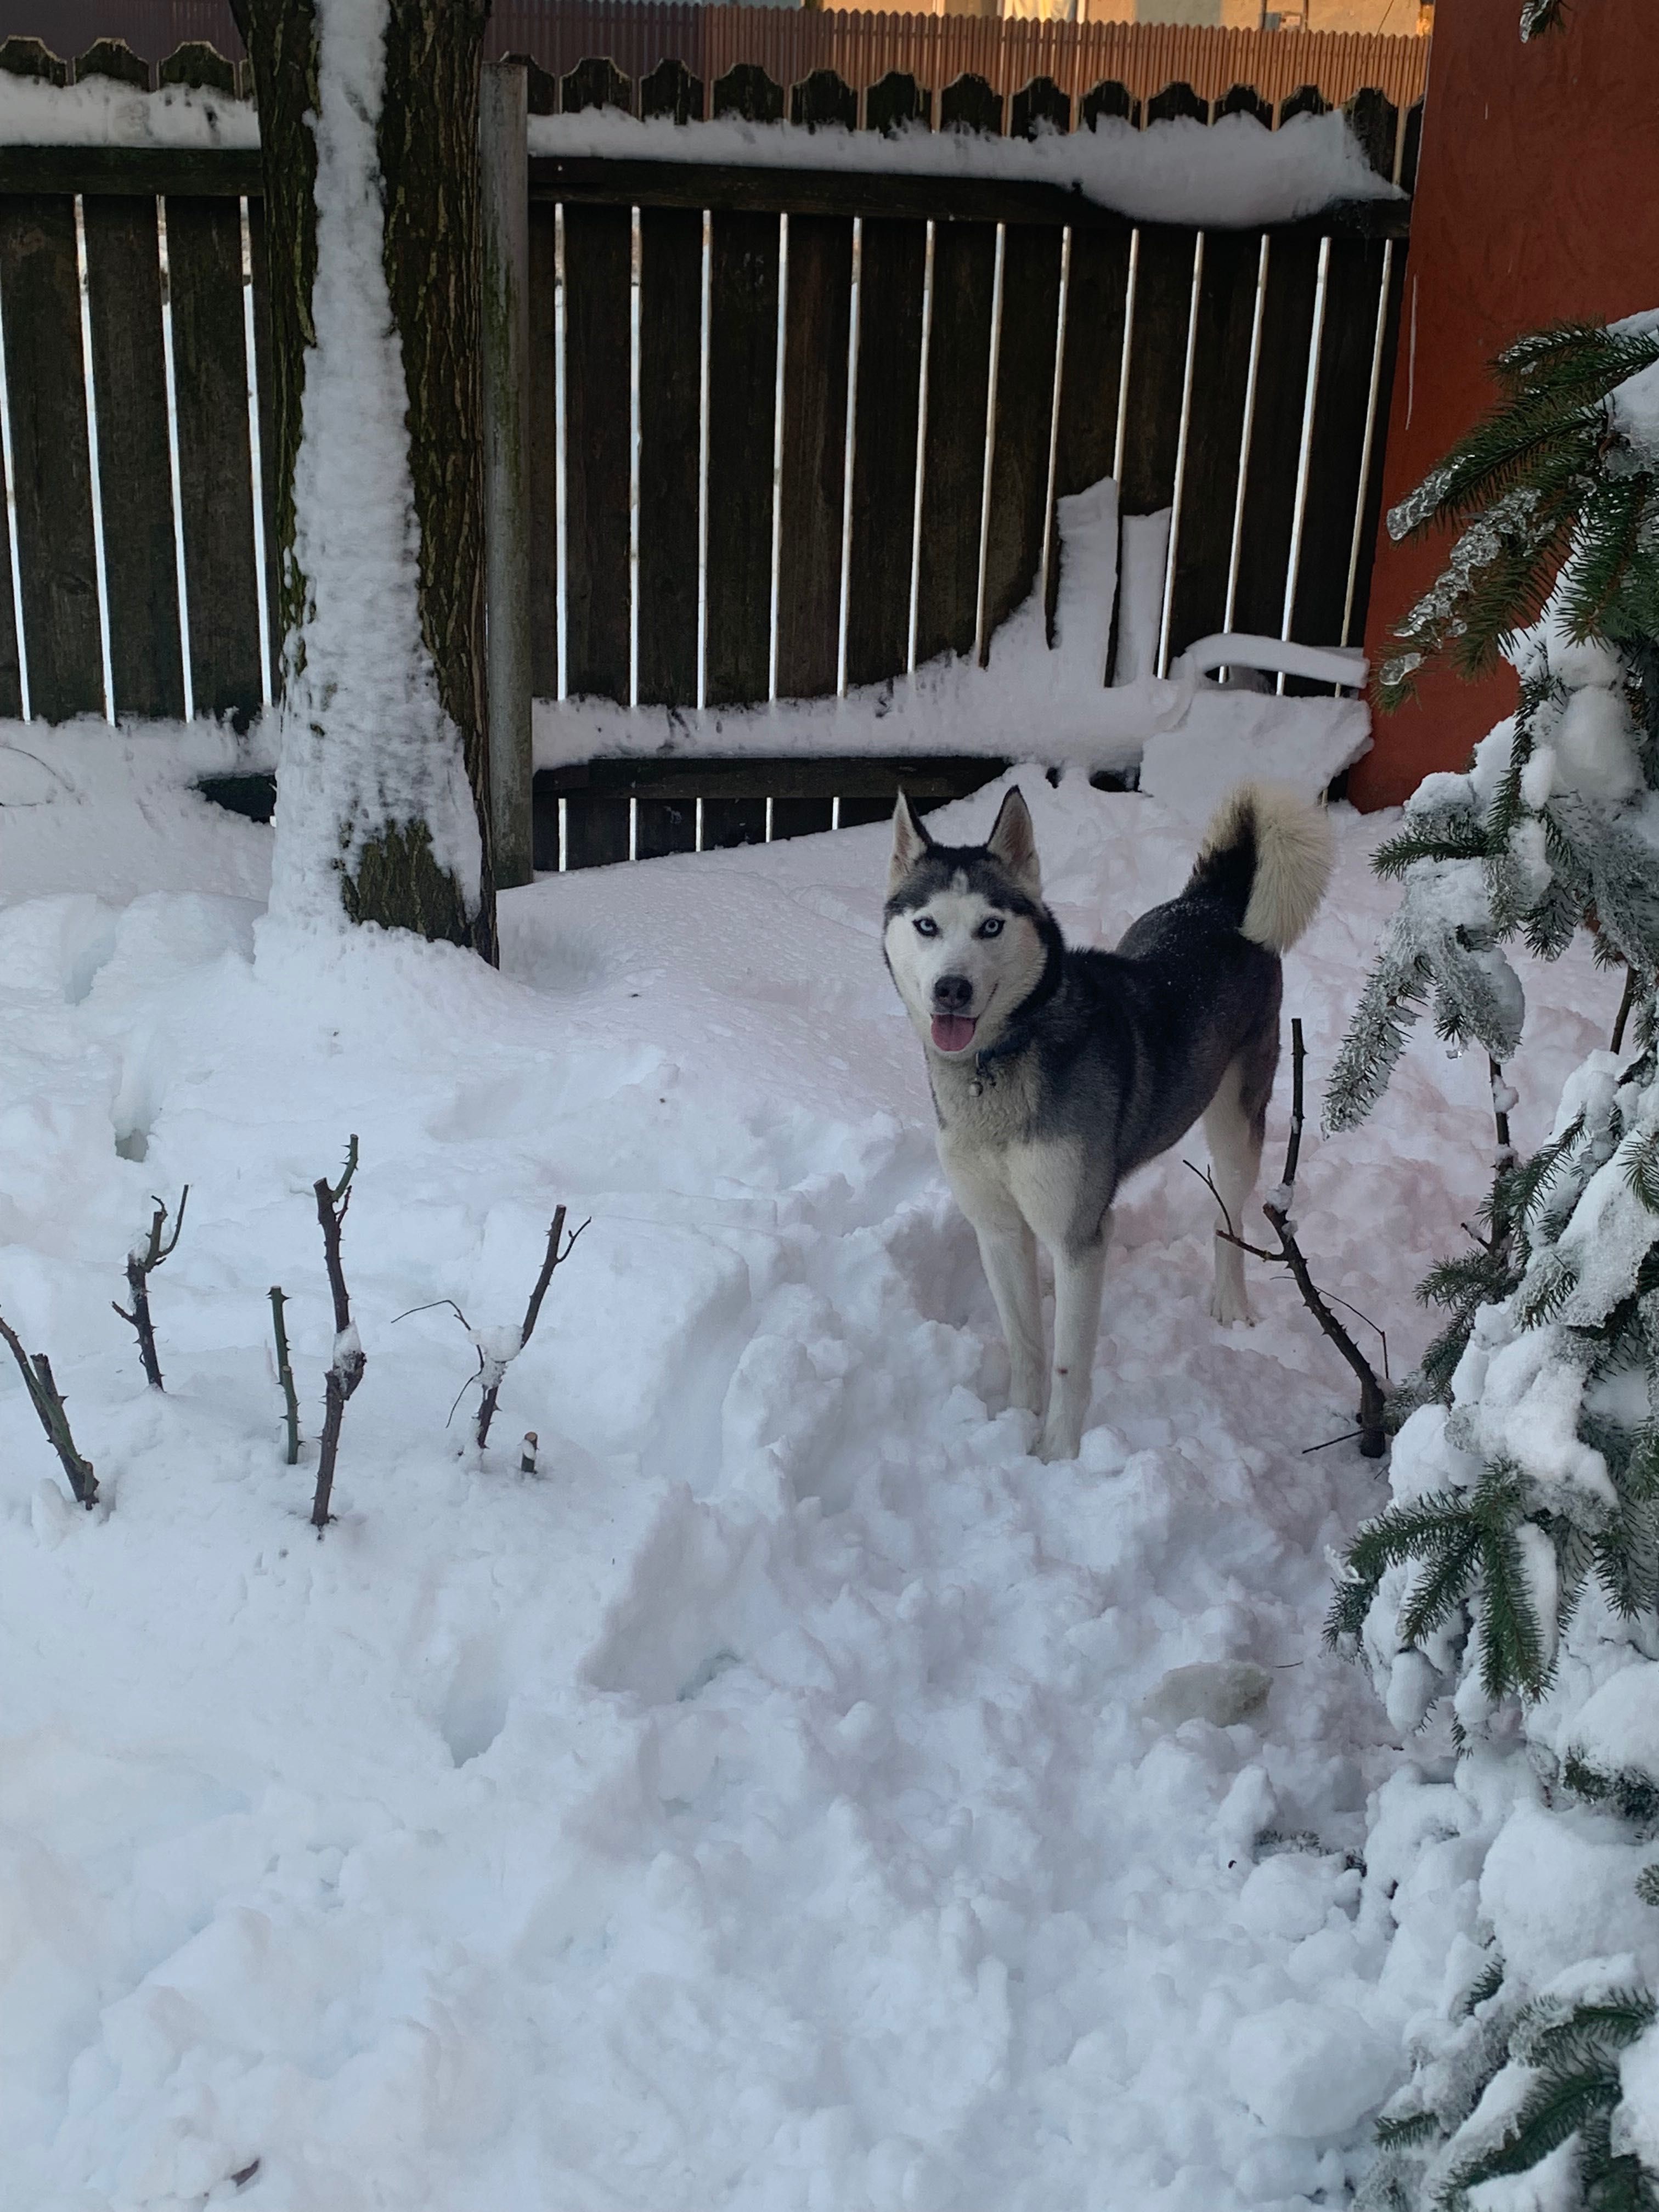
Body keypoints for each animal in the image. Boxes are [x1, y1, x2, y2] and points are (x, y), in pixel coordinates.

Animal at [884, 787, 1336, 1460]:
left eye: (991, 925)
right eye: (926, 925)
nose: (951, 989)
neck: (998, 1063)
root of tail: (1214, 901)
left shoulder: (1078, 1235)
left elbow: (1069, 1360)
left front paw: (1056, 1455)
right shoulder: (996, 1227)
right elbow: (1024, 1341)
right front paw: (1015, 1425)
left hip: (1236, 1124)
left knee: (1229, 1215)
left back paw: (1230, 1303)